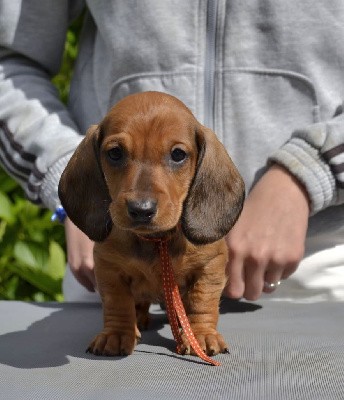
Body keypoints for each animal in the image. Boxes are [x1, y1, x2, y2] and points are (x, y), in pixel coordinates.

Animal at [58, 90, 245, 356]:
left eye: (178, 154)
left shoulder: (210, 266)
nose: (141, 210)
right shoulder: (108, 268)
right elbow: (117, 302)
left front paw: (200, 334)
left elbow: (202, 301)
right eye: (115, 153)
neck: (157, 241)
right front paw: (117, 334)